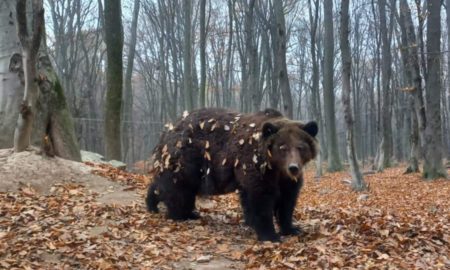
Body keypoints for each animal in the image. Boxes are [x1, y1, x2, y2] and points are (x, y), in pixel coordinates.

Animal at [146, 107, 318, 243]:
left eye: (301, 147)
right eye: (282, 147)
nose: (293, 167)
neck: (275, 167)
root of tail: (168, 129)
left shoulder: (285, 179)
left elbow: (287, 201)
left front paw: (292, 228)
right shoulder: (253, 164)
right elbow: (261, 198)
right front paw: (270, 235)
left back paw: (158, 206)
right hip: (188, 156)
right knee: (178, 187)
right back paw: (179, 214)